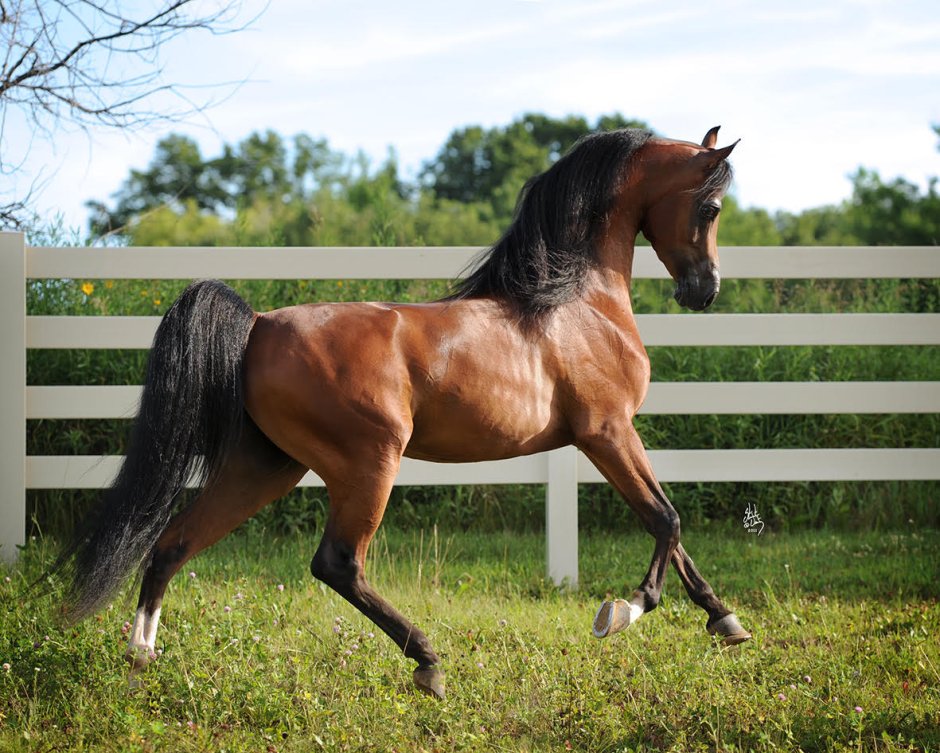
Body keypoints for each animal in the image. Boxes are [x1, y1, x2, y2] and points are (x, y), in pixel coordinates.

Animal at [55, 126, 749, 700]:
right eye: (711, 207)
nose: (705, 290)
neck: (574, 303)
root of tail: (258, 325)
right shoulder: (605, 431)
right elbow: (665, 519)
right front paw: (623, 612)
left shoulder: (609, 436)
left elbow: (671, 526)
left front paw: (726, 619)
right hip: (367, 463)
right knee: (336, 563)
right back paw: (429, 663)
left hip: (265, 467)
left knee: (172, 544)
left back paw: (140, 661)